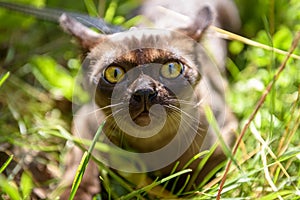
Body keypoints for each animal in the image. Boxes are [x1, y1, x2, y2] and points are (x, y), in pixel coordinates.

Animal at [55, 0, 239, 198]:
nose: (144, 91)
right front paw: (72, 194)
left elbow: (200, 183)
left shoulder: (224, 140)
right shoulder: (85, 123)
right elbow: (82, 165)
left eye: (171, 68)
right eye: (114, 73)